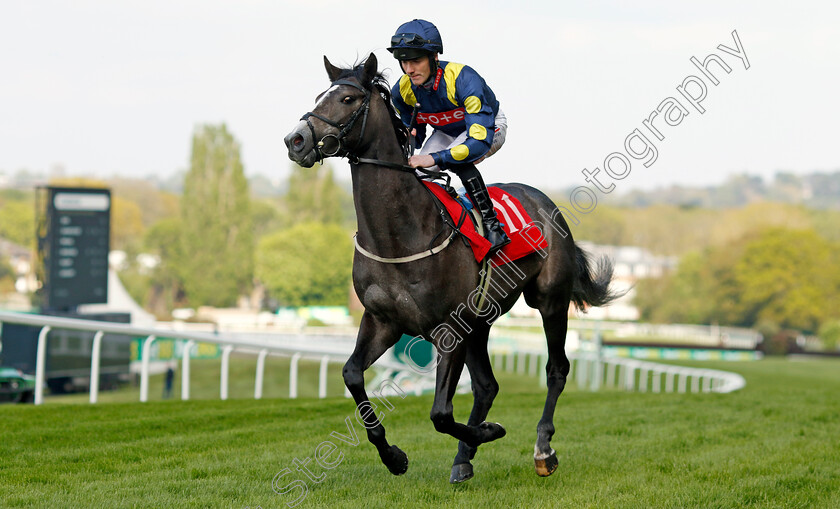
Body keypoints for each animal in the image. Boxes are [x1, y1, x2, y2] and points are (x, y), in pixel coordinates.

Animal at [286, 53, 620, 482]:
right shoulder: (382, 321)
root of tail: (547, 203)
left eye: (347, 98)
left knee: (556, 369)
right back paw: (464, 458)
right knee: (487, 386)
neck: (400, 234)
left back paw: (542, 448)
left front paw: (490, 432)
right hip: (482, 319)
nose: (295, 140)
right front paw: (394, 456)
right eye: (319, 96)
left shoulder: (449, 330)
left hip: (550, 300)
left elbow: (441, 413)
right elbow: (352, 374)